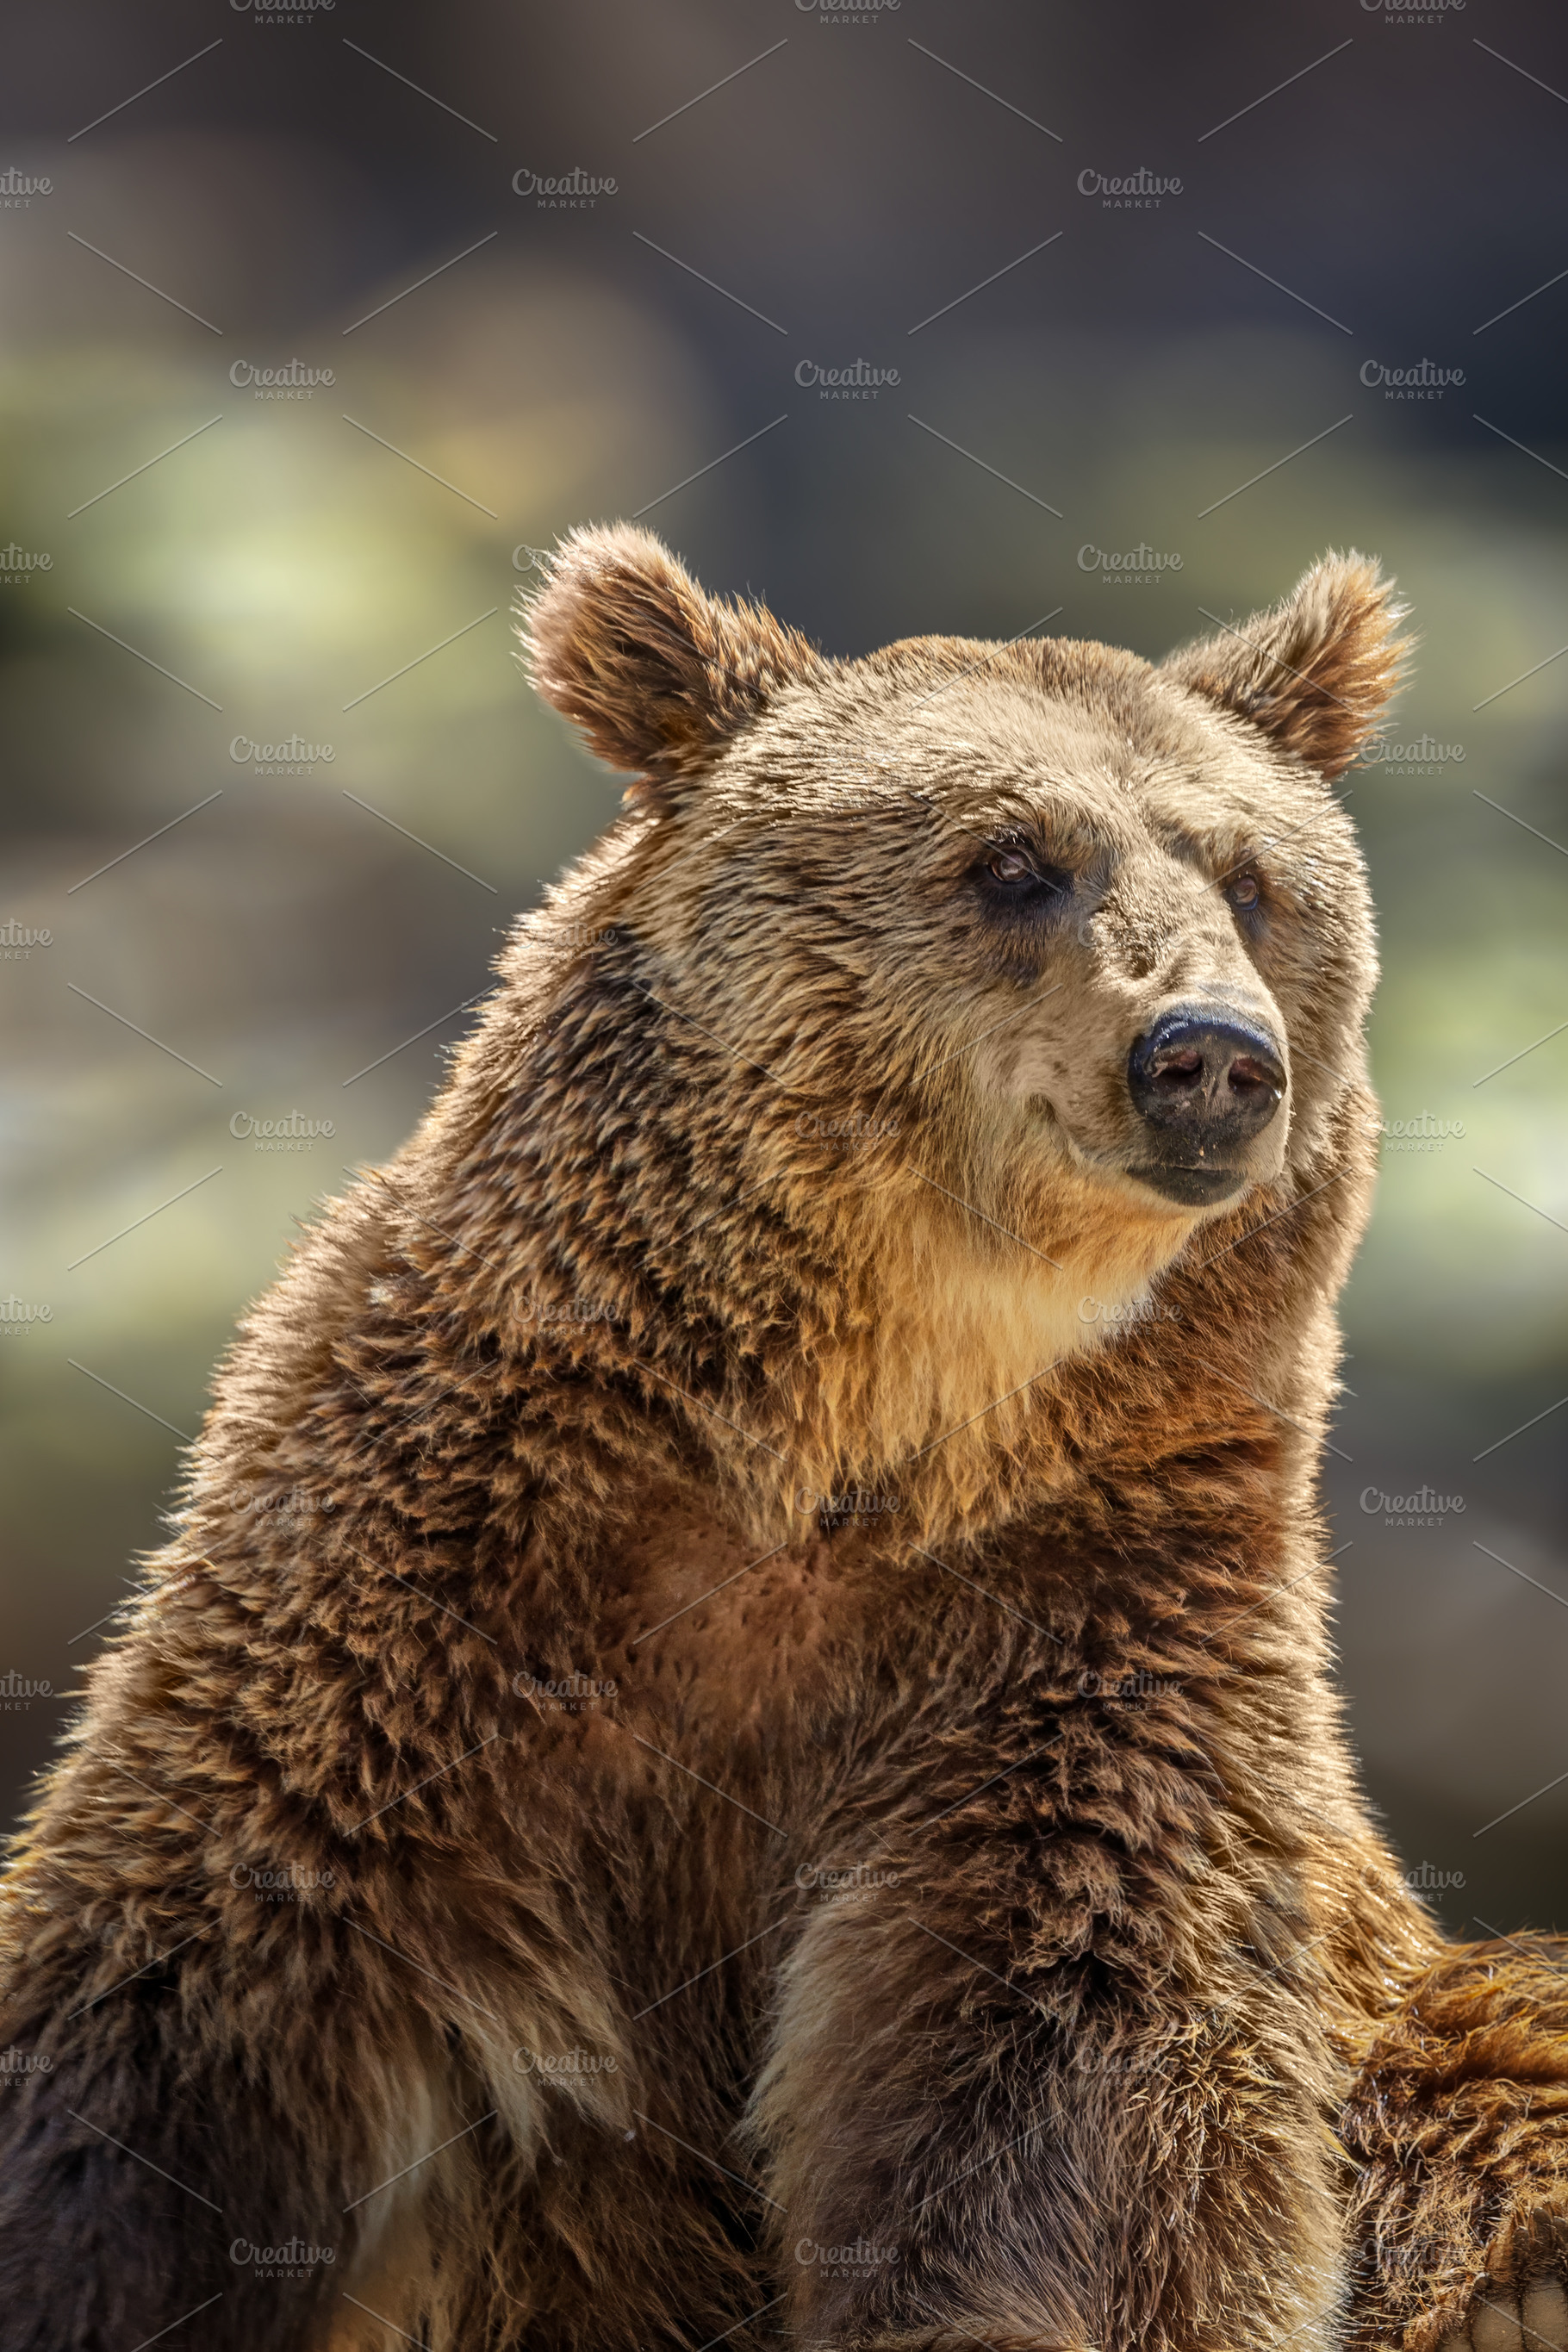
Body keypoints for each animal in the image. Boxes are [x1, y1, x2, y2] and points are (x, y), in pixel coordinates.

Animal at [2, 524, 1567, 2352]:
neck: (847, 1438)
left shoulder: (1081, 1636)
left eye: (1253, 878)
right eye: (1012, 860)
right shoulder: (419, 1584)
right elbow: (173, 2017)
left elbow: (1054, 2101)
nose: (1210, 1054)